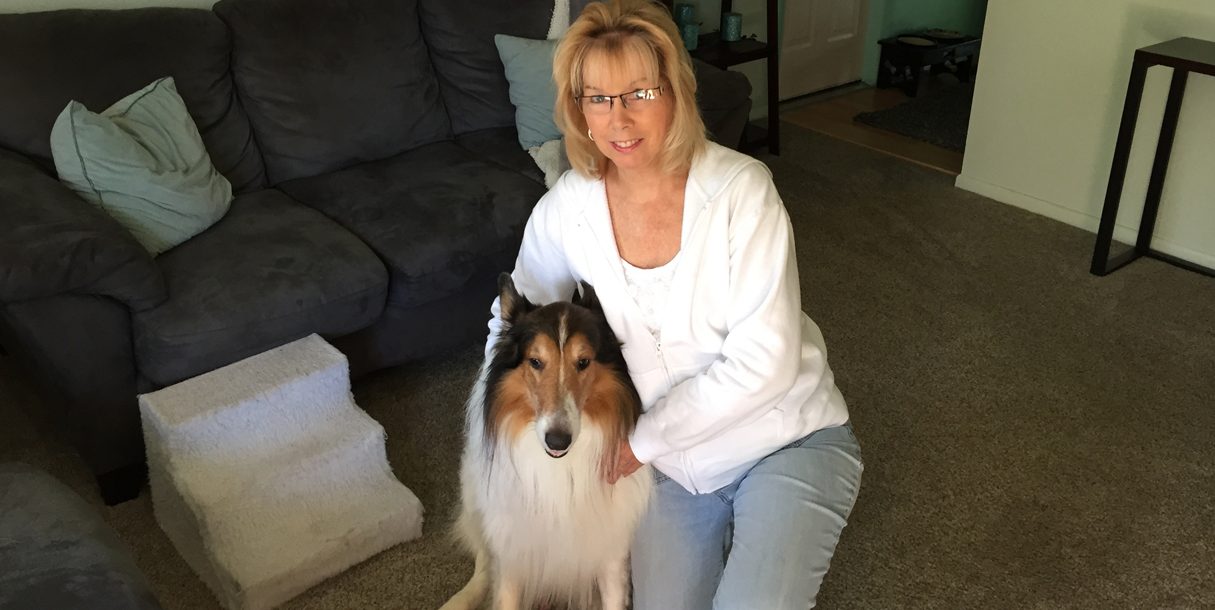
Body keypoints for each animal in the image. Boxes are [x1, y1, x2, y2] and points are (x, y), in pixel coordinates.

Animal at [444, 274, 656, 607]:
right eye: (535, 361)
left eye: (583, 362)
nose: (557, 441)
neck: (561, 469)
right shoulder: (511, 556)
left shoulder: (611, 555)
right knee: (483, 558)